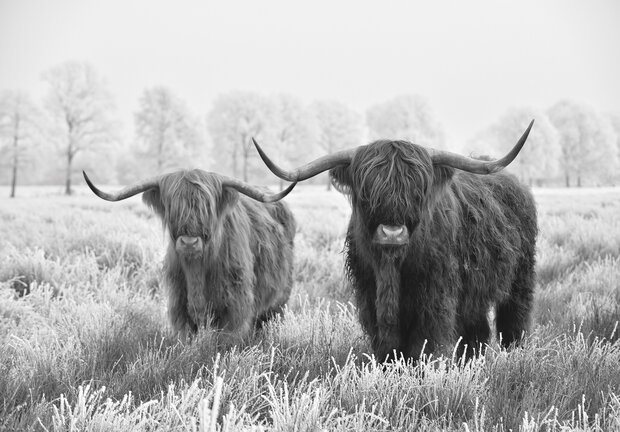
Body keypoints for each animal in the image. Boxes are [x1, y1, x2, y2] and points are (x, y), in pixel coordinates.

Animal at [83, 170, 296, 340]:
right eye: (172, 208)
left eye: (207, 208)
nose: (189, 242)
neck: (196, 270)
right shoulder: (179, 306)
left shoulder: (235, 307)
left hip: (279, 300)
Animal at [254, 120, 540, 362]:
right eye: (367, 188)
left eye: (418, 189)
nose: (392, 233)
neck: (391, 267)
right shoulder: (369, 296)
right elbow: (387, 345)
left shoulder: (435, 298)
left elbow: (422, 345)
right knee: (476, 330)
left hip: (520, 278)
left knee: (514, 319)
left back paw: (514, 355)